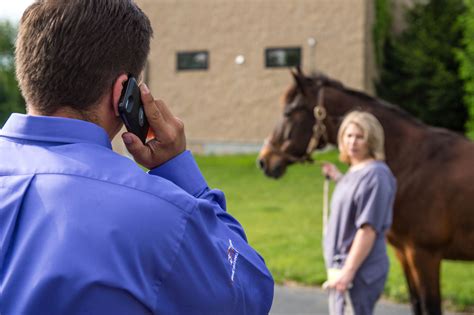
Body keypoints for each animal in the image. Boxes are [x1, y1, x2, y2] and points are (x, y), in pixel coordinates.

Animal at [260, 69, 474, 315]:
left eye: (288, 112)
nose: (264, 161)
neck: (414, 161)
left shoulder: (425, 256)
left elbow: (430, 307)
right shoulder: (405, 253)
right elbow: (416, 303)